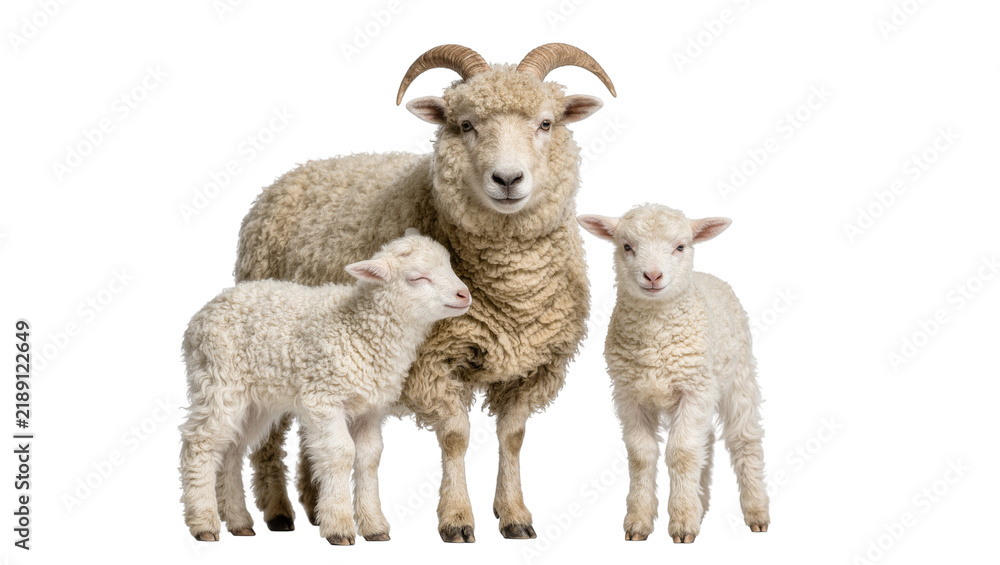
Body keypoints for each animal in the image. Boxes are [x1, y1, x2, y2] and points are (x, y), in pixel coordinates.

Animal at [179, 230, 471, 545]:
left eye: (450, 267)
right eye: (417, 278)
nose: (464, 295)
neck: (361, 329)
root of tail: (203, 312)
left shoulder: (370, 409)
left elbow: (369, 458)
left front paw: (374, 525)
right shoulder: (324, 398)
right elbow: (340, 453)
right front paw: (339, 525)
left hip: (255, 402)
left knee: (231, 449)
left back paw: (239, 521)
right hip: (218, 380)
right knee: (201, 443)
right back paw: (203, 522)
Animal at [235, 43, 616, 542]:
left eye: (547, 123)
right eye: (465, 124)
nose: (507, 179)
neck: (513, 290)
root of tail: (288, 177)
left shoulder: (534, 367)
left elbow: (512, 438)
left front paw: (514, 514)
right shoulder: (432, 362)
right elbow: (456, 436)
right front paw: (456, 518)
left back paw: (316, 502)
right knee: (269, 435)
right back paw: (279, 511)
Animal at [577, 204, 770, 543]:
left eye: (680, 247)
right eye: (626, 246)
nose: (653, 276)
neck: (656, 336)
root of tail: (709, 277)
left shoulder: (693, 389)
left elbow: (682, 452)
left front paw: (682, 522)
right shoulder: (629, 394)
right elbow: (641, 454)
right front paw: (639, 521)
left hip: (738, 375)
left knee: (744, 439)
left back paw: (756, 511)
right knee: (706, 439)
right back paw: (700, 504)